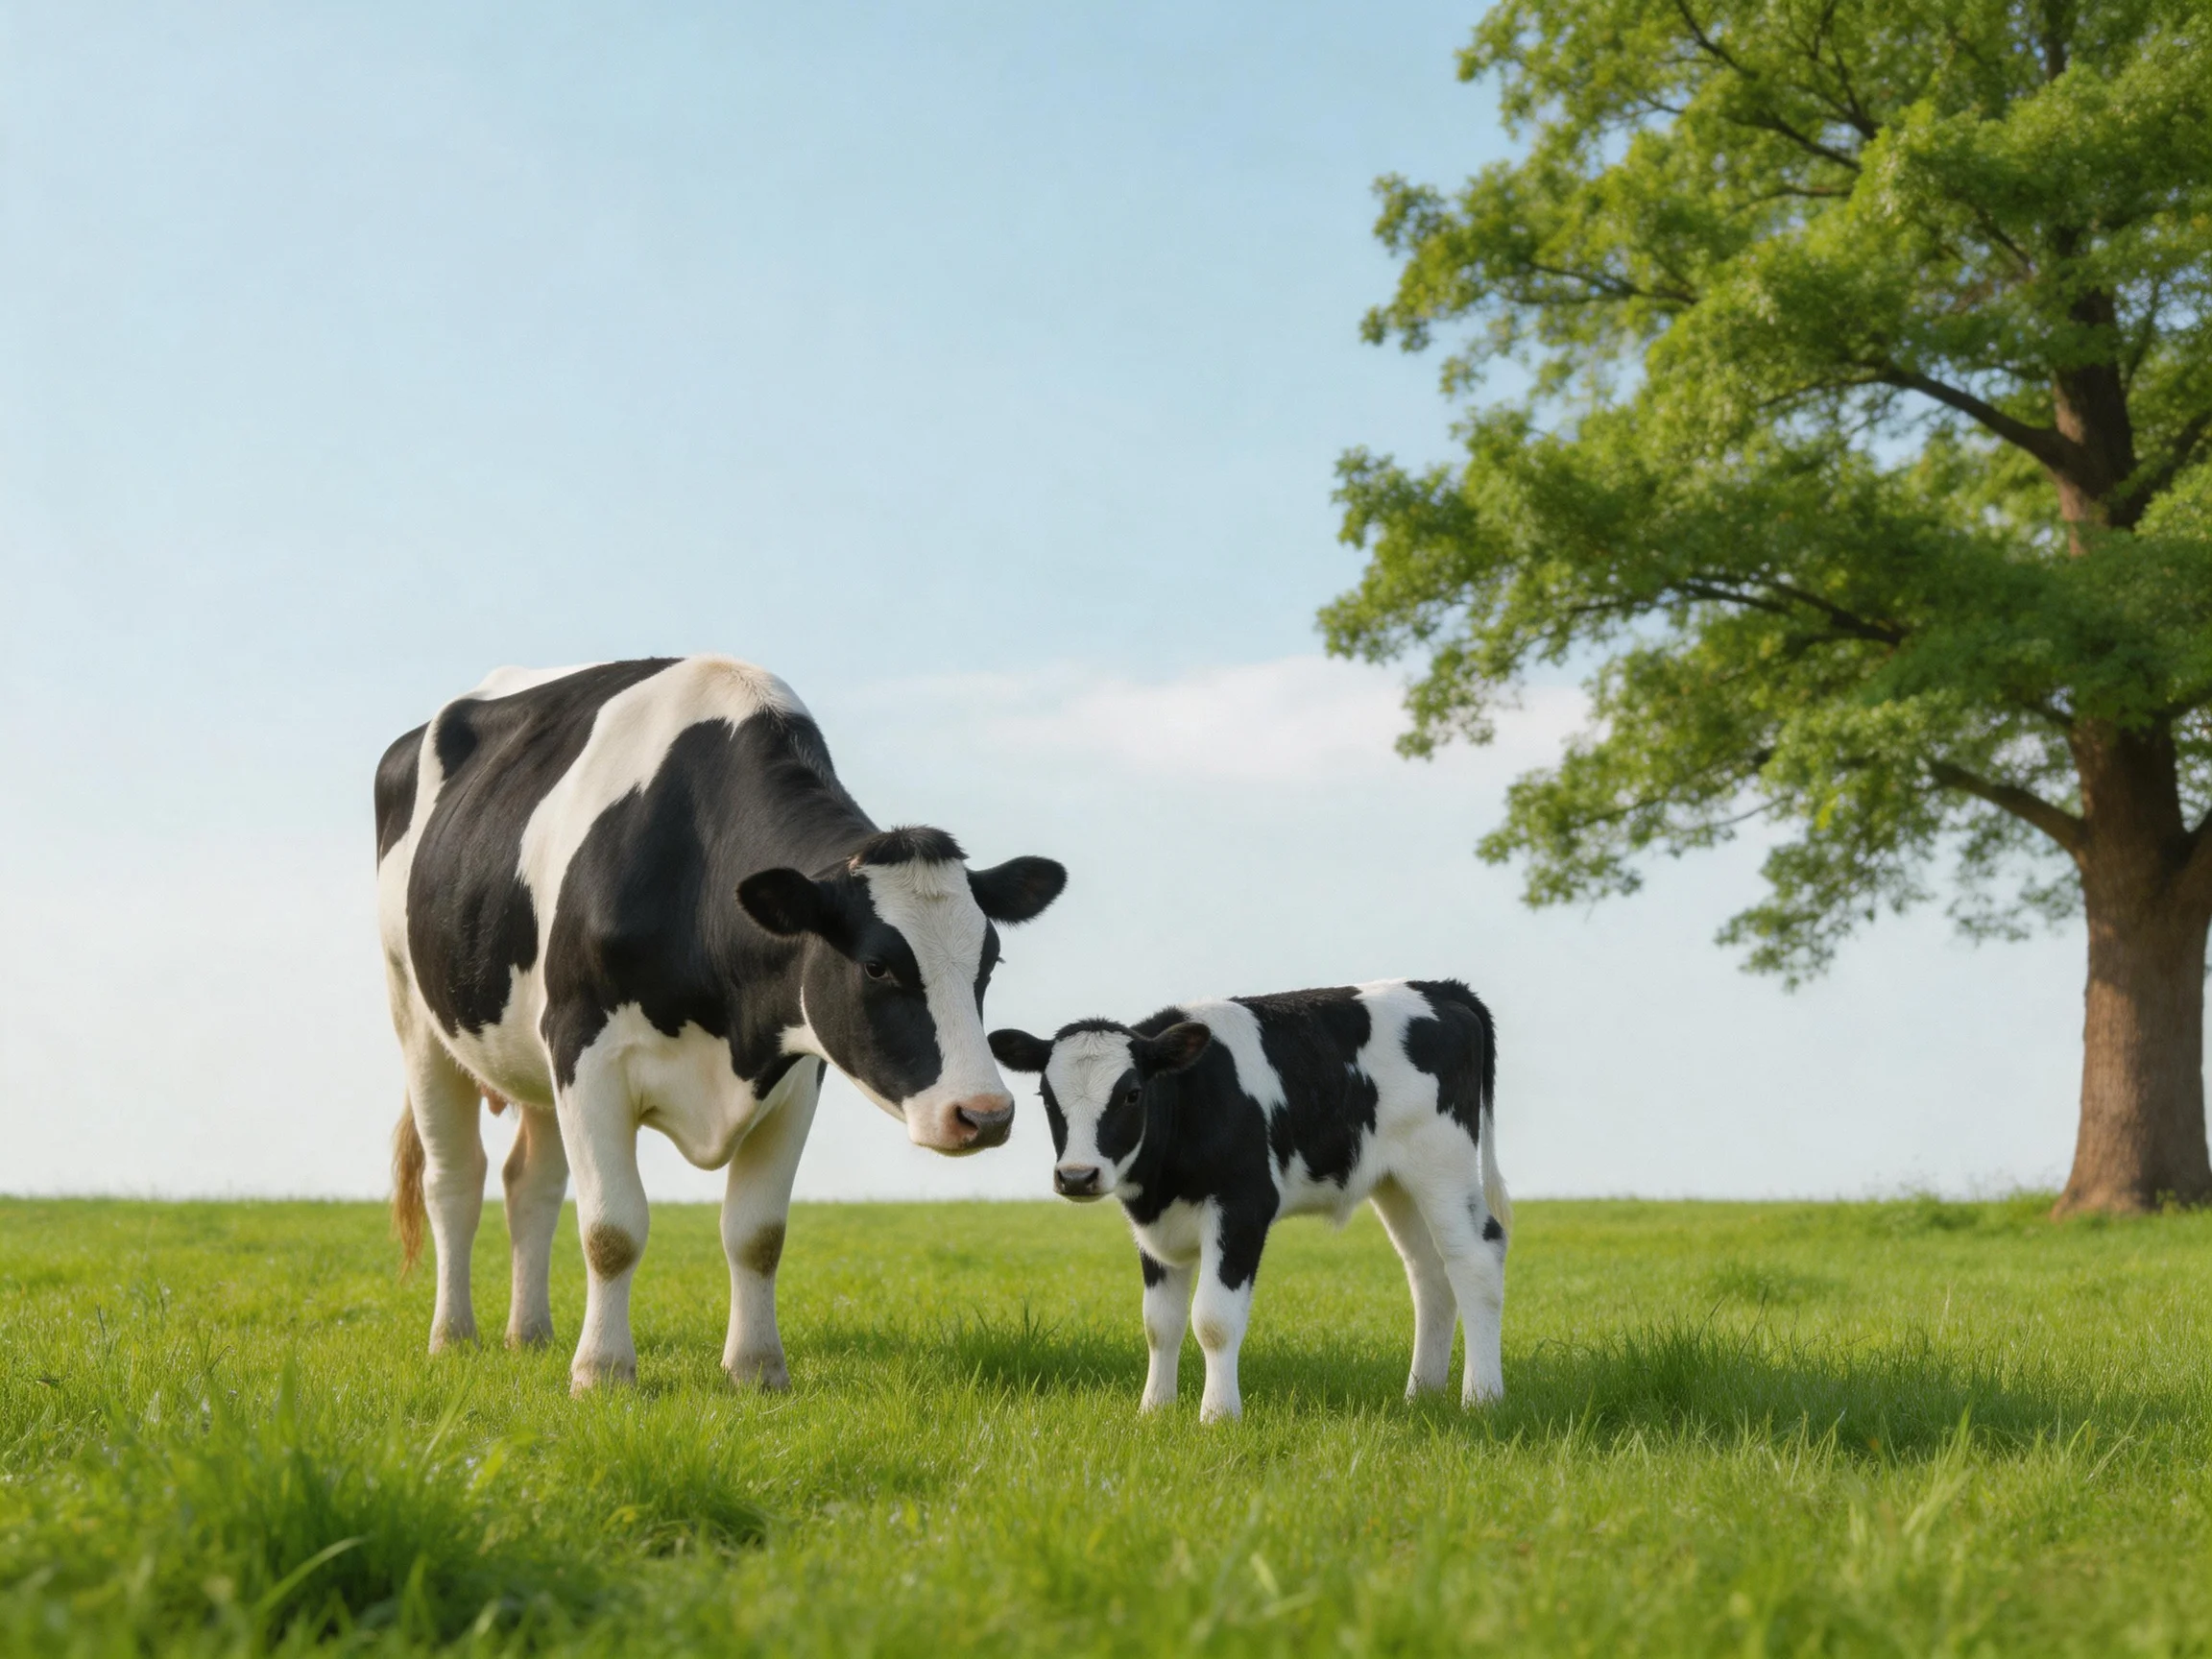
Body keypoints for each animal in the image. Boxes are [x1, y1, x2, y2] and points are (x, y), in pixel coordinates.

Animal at [375, 656, 1065, 1393]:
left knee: (528, 1185)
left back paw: (529, 1334)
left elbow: (758, 1235)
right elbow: (611, 1230)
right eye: (877, 966)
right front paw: (602, 1372)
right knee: (453, 1181)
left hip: (530, 1058)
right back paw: (453, 1336)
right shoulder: (584, 1051)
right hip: (416, 1014)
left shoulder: (796, 1072)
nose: (985, 1114)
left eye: (990, 961)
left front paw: (757, 1369)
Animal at [989, 980, 1508, 1421]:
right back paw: (1422, 1394)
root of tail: (1438, 988)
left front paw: (1218, 1415)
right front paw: (1153, 1411)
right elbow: (1159, 1323)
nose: (1077, 1176)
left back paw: (1481, 1398)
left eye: (1132, 1094)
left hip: (1442, 1164)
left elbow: (1214, 1320)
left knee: (1476, 1258)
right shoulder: (1153, 1228)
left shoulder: (1241, 1211)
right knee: (1430, 1272)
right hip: (1398, 1184)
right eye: (1045, 1097)